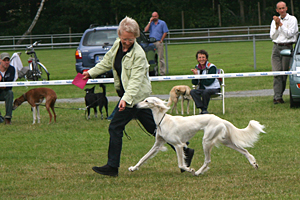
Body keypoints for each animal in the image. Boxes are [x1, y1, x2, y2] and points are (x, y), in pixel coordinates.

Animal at [128, 97, 264, 175]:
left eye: (146, 101)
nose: (135, 105)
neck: (163, 120)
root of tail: (221, 119)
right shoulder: (158, 144)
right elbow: (143, 158)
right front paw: (133, 168)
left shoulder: (178, 145)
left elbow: (180, 163)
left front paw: (189, 169)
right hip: (225, 141)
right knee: (244, 150)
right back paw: (254, 164)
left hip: (207, 140)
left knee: (208, 160)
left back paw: (198, 172)